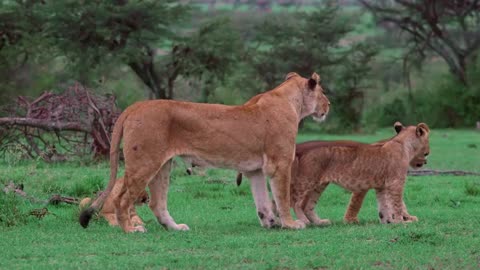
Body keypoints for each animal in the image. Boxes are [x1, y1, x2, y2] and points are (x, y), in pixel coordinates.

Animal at [80, 73, 332, 233]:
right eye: (322, 92)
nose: (328, 106)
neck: (290, 101)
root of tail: (135, 106)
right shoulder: (279, 164)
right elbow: (282, 197)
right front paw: (291, 224)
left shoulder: (255, 171)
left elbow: (262, 201)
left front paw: (270, 222)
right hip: (145, 163)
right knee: (122, 199)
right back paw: (131, 229)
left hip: (162, 166)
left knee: (157, 203)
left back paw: (175, 228)